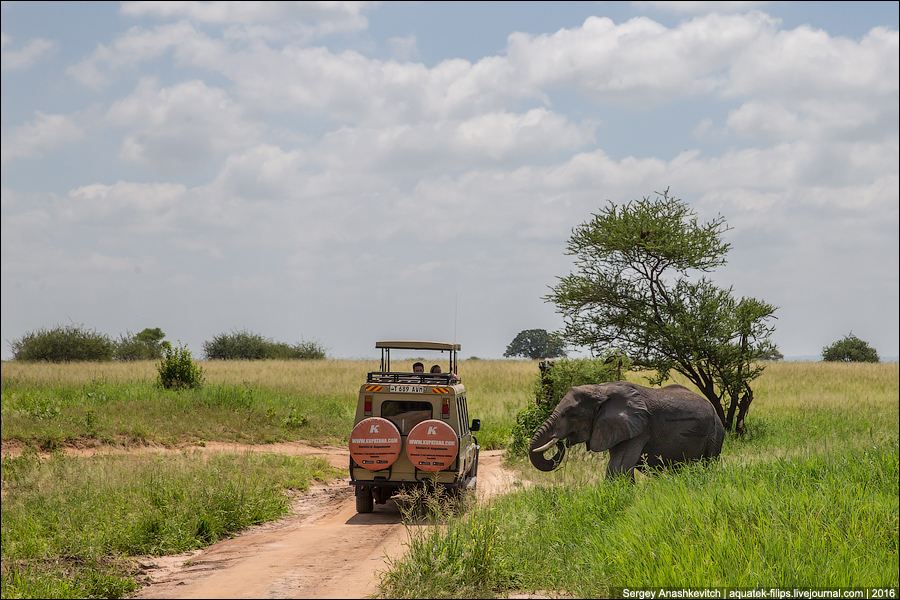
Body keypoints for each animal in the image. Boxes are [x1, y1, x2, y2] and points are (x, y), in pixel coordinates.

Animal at [528, 384, 724, 478]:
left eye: (571, 414)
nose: (560, 443)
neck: (601, 389)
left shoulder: (639, 428)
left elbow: (618, 466)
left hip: (715, 432)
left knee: (709, 462)